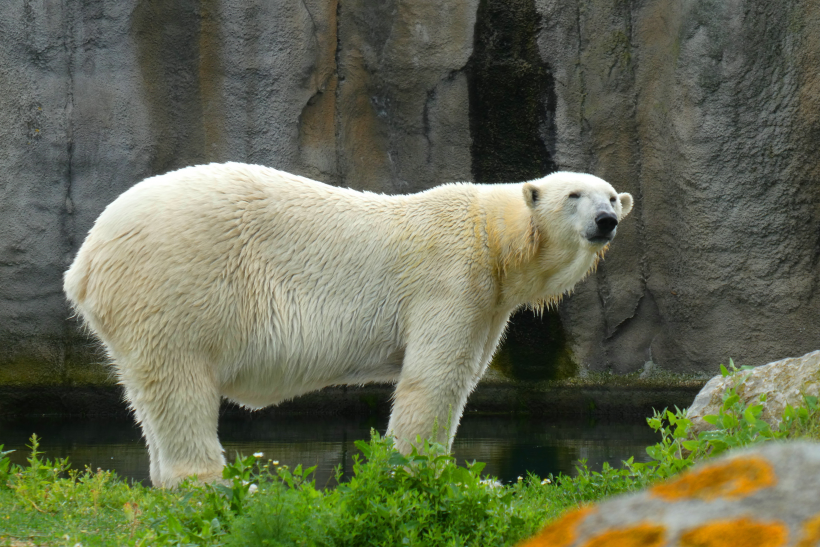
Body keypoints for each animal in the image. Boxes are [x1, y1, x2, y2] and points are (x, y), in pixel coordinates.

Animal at [62, 164, 636, 488]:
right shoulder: (451, 279)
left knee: (148, 390)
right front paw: (425, 473)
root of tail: (87, 258)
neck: (494, 238)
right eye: (574, 196)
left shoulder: (489, 302)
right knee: (179, 379)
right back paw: (212, 483)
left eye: (611, 196)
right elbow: (435, 377)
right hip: (175, 279)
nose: (606, 221)